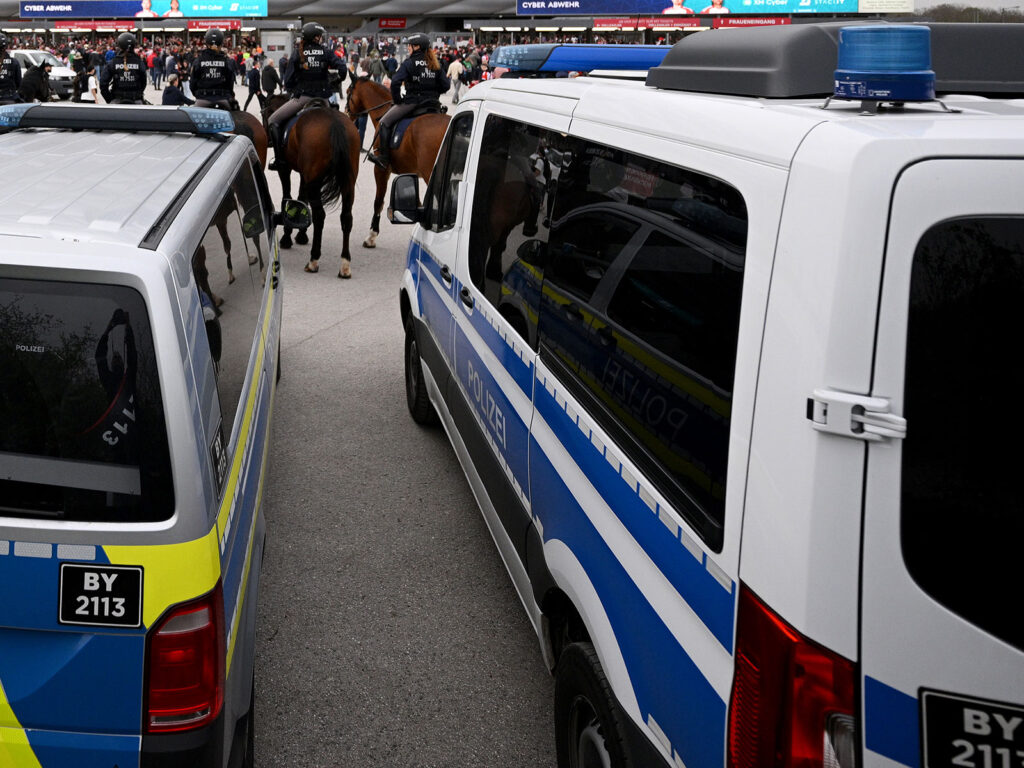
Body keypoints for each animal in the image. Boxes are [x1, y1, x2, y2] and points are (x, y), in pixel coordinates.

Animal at [262, 100, 362, 278]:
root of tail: (335, 123)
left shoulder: (285, 169)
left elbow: (287, 197)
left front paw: (287, 236)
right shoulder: (305, 175)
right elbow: (301, 199)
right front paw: (301, 234)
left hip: (315, 181)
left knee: (319, 216)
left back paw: (313, 260)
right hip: (347, 182)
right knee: (346, 217)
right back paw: (345, 264)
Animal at [344, 75, 448, 246]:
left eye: (348, 92)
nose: (346, 113)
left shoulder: (381, 169)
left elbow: (378, 202)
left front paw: (372, 235)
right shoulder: (411, 173)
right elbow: (416, 203)